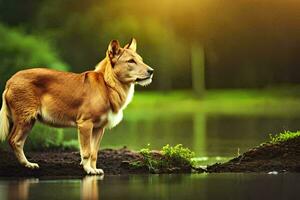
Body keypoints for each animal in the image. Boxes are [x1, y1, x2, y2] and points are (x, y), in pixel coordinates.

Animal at [0, 38, 154, 174]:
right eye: (131, 61)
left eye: (140, 59)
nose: (151, 71)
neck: (108, 85)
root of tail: (10, 81)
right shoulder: (85, 124)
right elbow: (86, 151)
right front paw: (88, 170)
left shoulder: (99, 128)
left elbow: (94, 152)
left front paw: (94, 169)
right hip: (24, 118)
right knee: (13, 140)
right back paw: (26, 164)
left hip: (29, 121)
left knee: (18, 142)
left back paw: (28, 164)